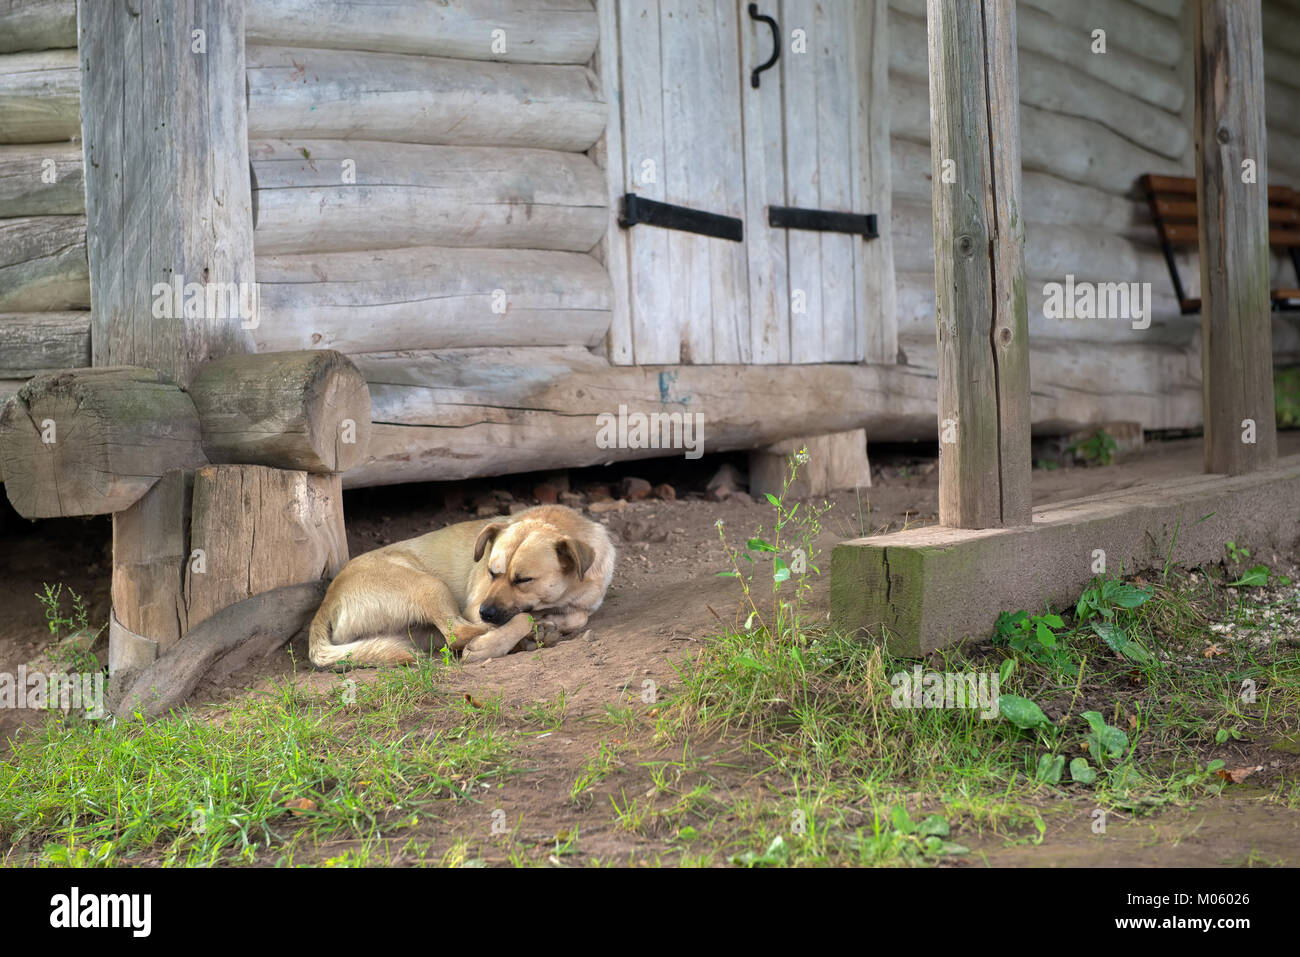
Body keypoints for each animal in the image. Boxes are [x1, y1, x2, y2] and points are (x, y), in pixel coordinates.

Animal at [308, 504, 613, 670]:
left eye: (523, 580)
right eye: (491, 572)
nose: (485, 613)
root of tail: (326, 602)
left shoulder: (585, 602)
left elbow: (578, 616)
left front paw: (553, 622)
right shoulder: (477, 602)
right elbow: (523, 617)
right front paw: (499, 640)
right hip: (431, 585)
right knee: (459, 633)